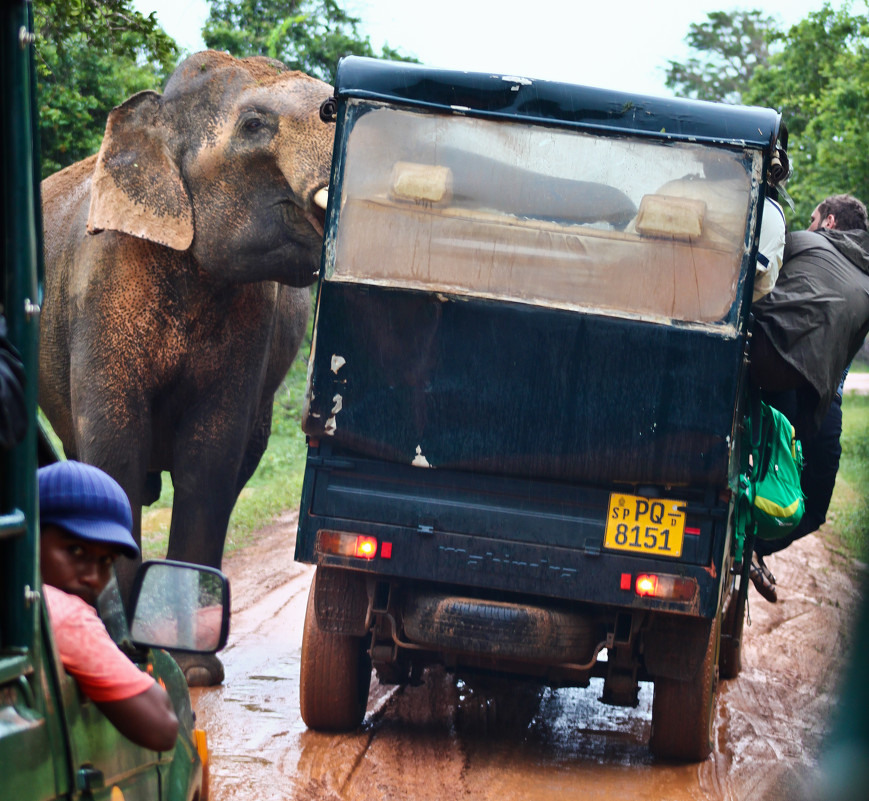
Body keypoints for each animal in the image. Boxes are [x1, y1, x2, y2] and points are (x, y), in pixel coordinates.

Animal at [39, 53, 336, 684]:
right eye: (254, 125)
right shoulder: (105, 280)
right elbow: (115, 452)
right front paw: (131, 654)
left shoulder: (252, 315)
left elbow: (209, 455)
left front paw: (192, 671)